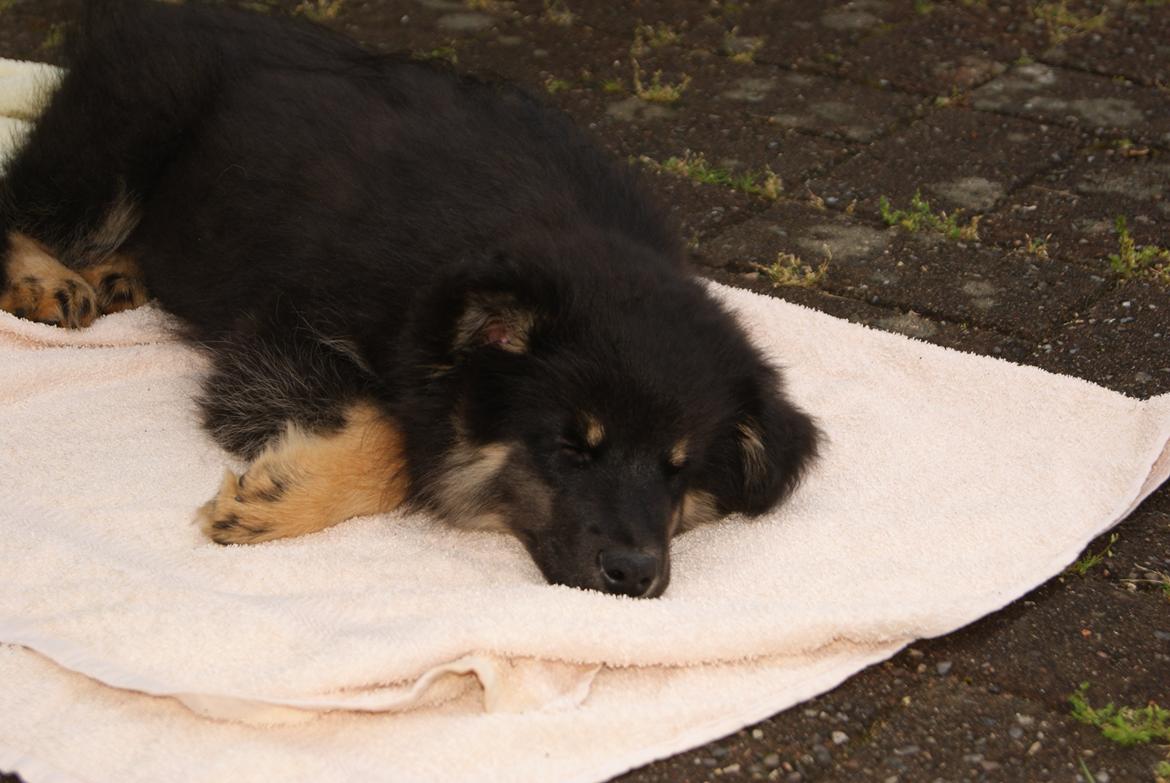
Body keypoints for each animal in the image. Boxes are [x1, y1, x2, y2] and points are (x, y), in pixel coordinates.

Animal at [0, 1, 819, 599]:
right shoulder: (282, 337)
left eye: (680, 468)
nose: (634, 575)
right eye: (568, 448)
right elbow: (397, 440)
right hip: (121, 139)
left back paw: (118, 272)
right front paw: (278, 496)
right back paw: (48, 279)